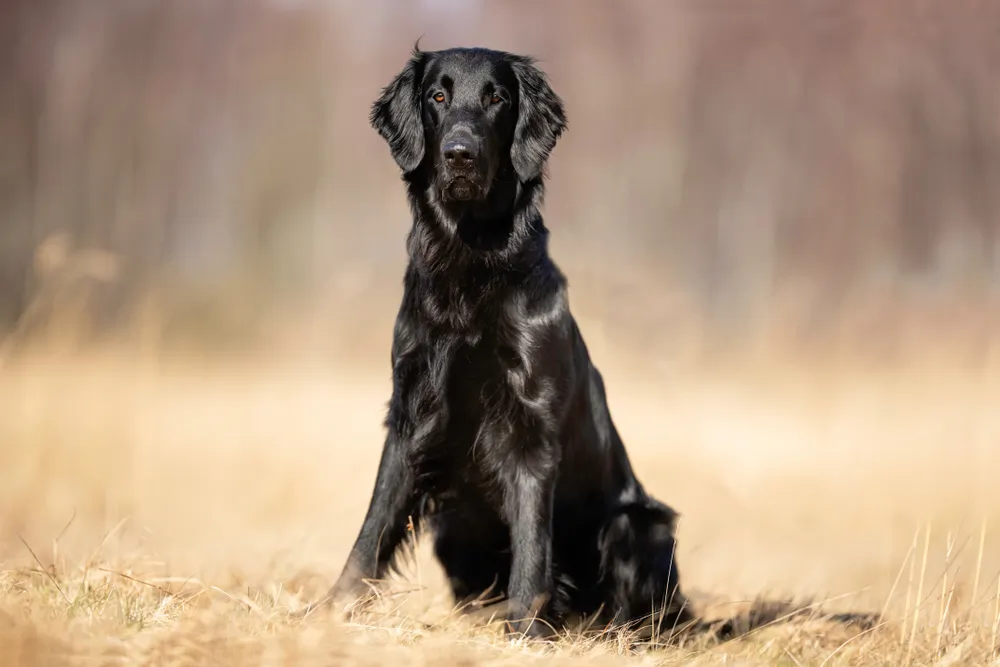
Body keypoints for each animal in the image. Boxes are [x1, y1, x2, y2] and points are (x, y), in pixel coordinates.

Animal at [320, 44, 696, 640]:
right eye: (438, 95)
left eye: (497, 98)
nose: (460, 154)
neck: (471, 263)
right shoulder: (409, 414)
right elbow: (372, 530)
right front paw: (328, 613)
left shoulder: (530, 425)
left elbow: (532, 546)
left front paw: (524, 632)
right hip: (453, 522)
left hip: (638, 525)